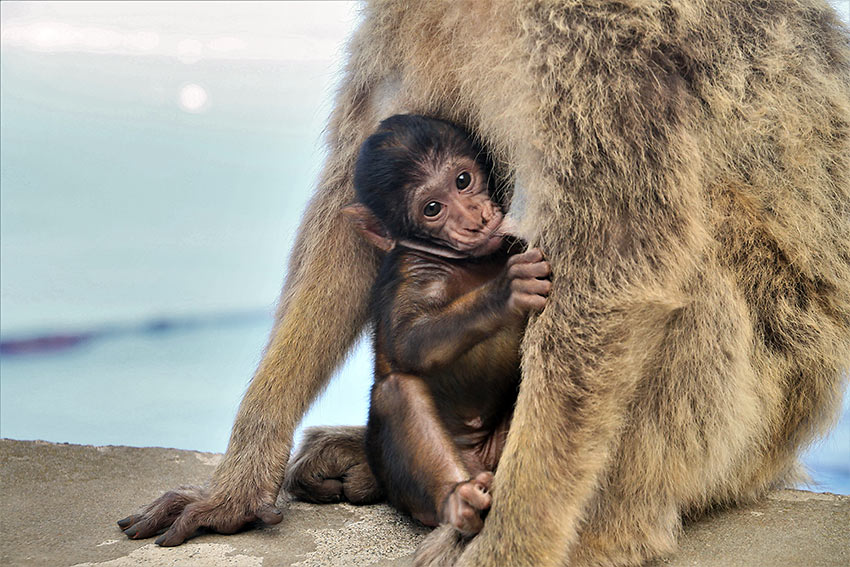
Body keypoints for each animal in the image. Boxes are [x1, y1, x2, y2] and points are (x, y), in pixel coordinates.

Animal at [284, 114, 548, 536]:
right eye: (433, 208)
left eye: (463, 180)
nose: (473, 218)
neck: (468, 262)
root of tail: (473, 460)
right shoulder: (411, 272)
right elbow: (408, 343)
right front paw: (505, 292)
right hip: (409, 487)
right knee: (397, 392)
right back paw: (458, 498)